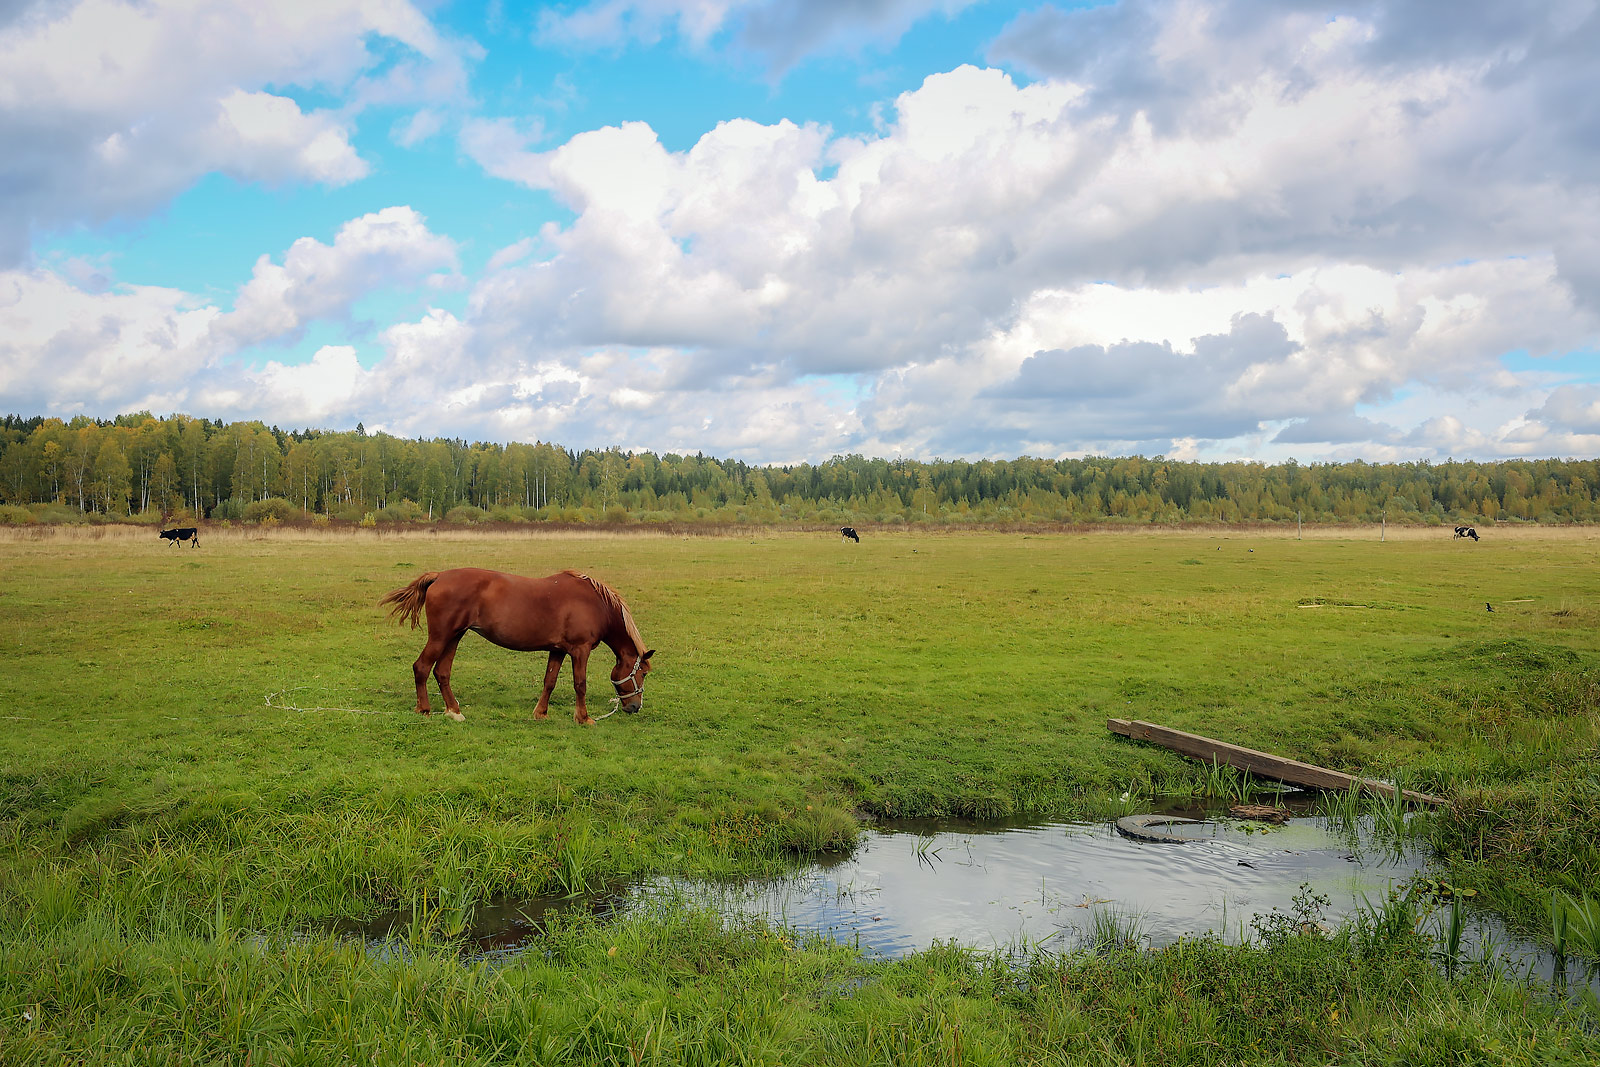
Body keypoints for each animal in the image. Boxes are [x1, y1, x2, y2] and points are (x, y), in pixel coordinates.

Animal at [377, 566, 652, 726]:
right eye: (643, 673)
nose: (635, 707)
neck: (595, 603)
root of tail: (439, 577)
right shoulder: (579, 650)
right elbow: (580, 684)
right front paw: (583, 718)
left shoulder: (558, 650)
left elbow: (549, 681)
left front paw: (540, 713)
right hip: (441, 637)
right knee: (422, 667)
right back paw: (424, 709)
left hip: (454, 637)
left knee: (441, 672)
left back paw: (454, 711)